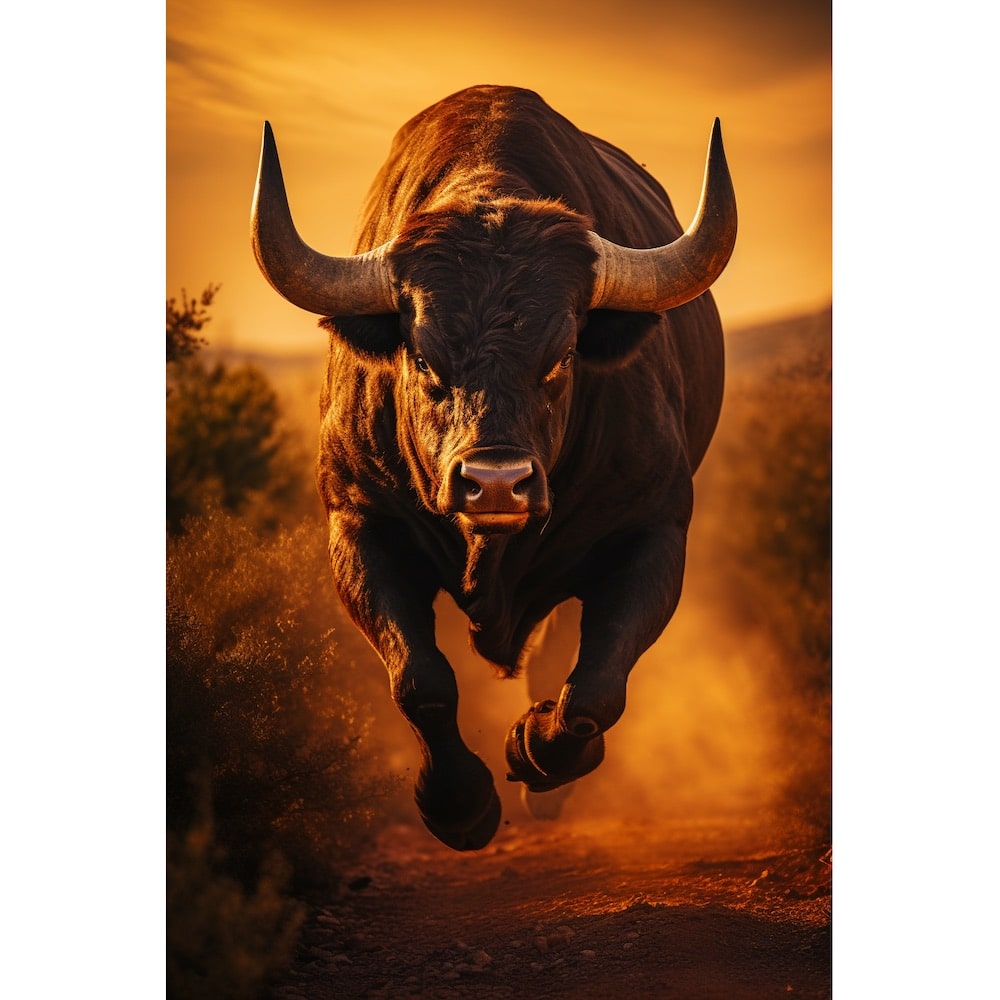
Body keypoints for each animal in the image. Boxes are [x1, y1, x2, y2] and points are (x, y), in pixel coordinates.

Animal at [251, 85, 736, 851]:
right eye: (424, 358)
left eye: (561, 356)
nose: (497, 484)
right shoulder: (359, 523)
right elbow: (421, 681)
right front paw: (459, 803)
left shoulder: (653, 529)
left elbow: (597, 685)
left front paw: (535, 752)